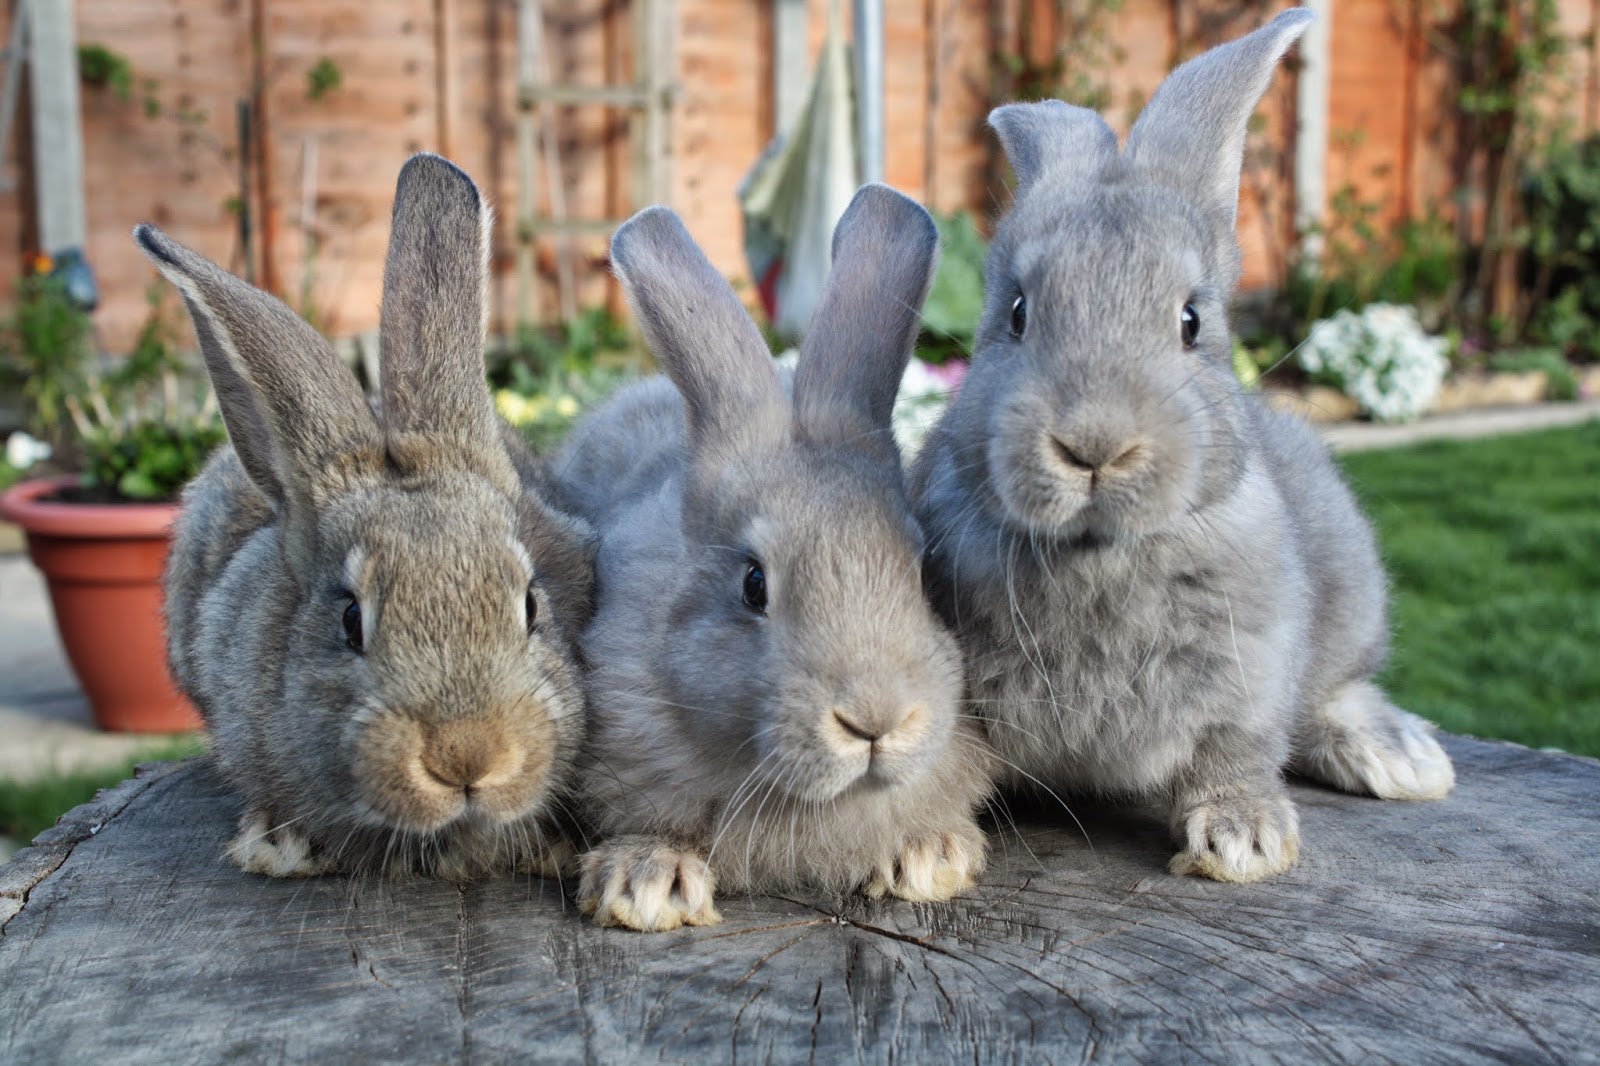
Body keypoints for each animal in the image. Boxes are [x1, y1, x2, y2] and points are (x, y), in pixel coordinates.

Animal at [909, 8, 1454, 885]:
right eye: (1017, 313)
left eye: (1192, 321)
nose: (1094, 445)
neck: (1097, 555)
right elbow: (942, 766)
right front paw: (924, 855)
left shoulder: (1250, 672)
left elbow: (1234, 751)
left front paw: (1244, 842)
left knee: (1334, 695)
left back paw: (1399, 759)